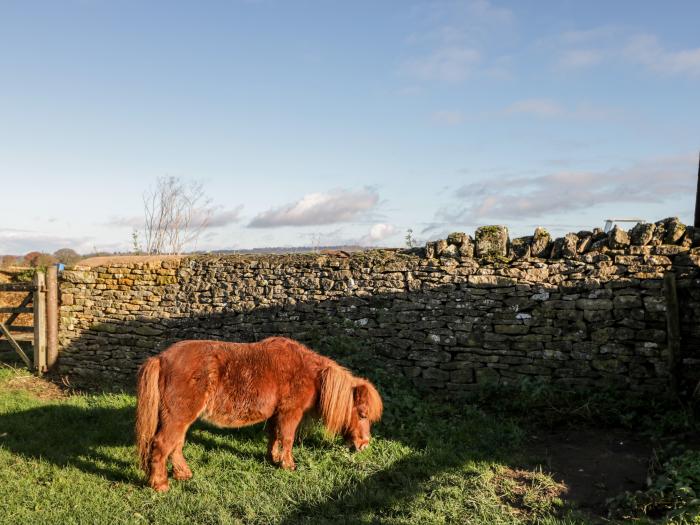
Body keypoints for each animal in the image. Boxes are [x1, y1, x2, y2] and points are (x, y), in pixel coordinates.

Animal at [131, 336, 382, 492]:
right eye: (362, 414)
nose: (364, 445)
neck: (310, 373)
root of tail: (161, 358)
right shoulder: (290, 413)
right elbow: (287, 438)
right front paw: (288, 465)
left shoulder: (275, 414)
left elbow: (273, 436)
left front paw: (273, 458)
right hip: (177, 417)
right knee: (163, 444)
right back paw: (160, 484)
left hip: (180, 419)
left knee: (176, 445)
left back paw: (183, 474)